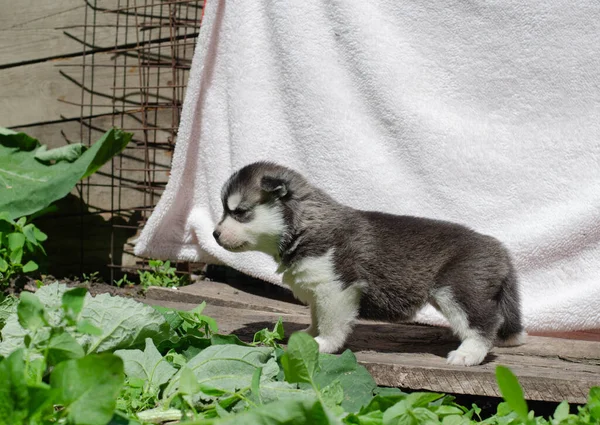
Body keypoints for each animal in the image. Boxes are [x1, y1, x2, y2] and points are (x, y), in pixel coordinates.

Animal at [213, 161, 524, 366]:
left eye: (240, 212)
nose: (214, 234)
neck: (303, 227)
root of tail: (500, 249)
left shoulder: (337, 289)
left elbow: (332, 323)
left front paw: (323, 343)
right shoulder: (318, 289)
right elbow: (316, 316)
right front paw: (308, 335)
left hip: (457, 290)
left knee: (484, 323)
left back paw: (467, 354)